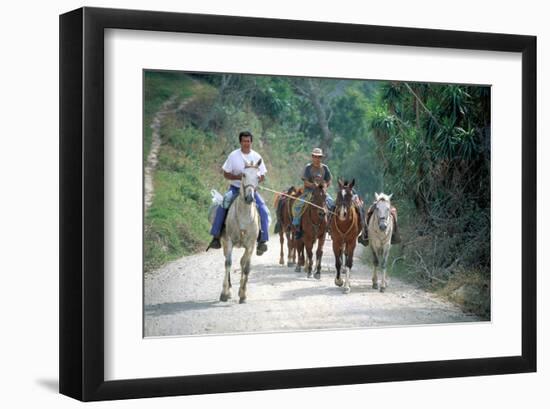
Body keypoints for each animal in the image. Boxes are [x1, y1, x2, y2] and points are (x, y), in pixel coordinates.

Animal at [220, 159, 264, 302]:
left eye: (258, 177)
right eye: (243, 175)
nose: (250, 197)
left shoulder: (250, 245)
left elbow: (247, 268)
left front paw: (243, 294)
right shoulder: (229, 241)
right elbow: (228, 263)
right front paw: (224, 293)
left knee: (242, 263)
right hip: (224, 242)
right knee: (228, 260)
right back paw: (229, 290)